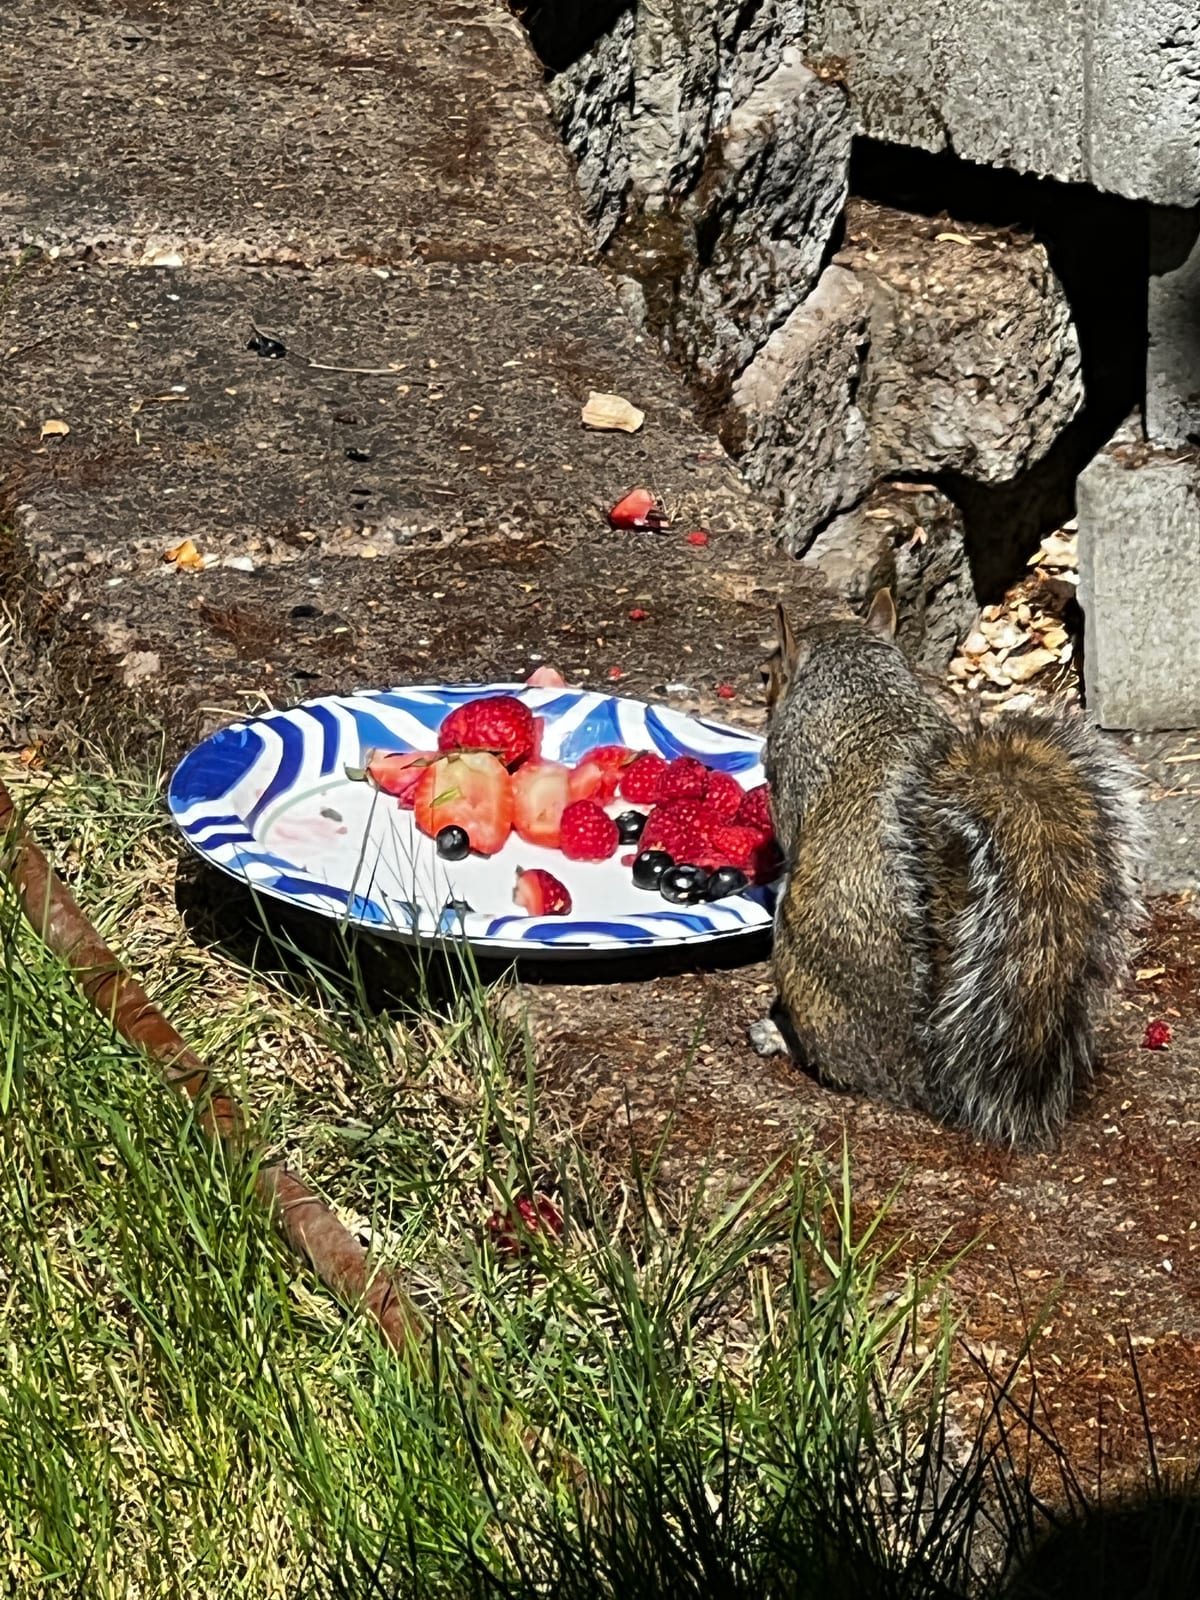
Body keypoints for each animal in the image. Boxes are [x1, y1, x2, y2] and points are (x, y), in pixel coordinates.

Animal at [749, 588, 1143, 1148]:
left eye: (768, 675)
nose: (758, 679)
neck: (862, 685)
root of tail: (927, 1072)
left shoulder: (788, 771)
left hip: (802, 963)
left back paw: (779, 1035)